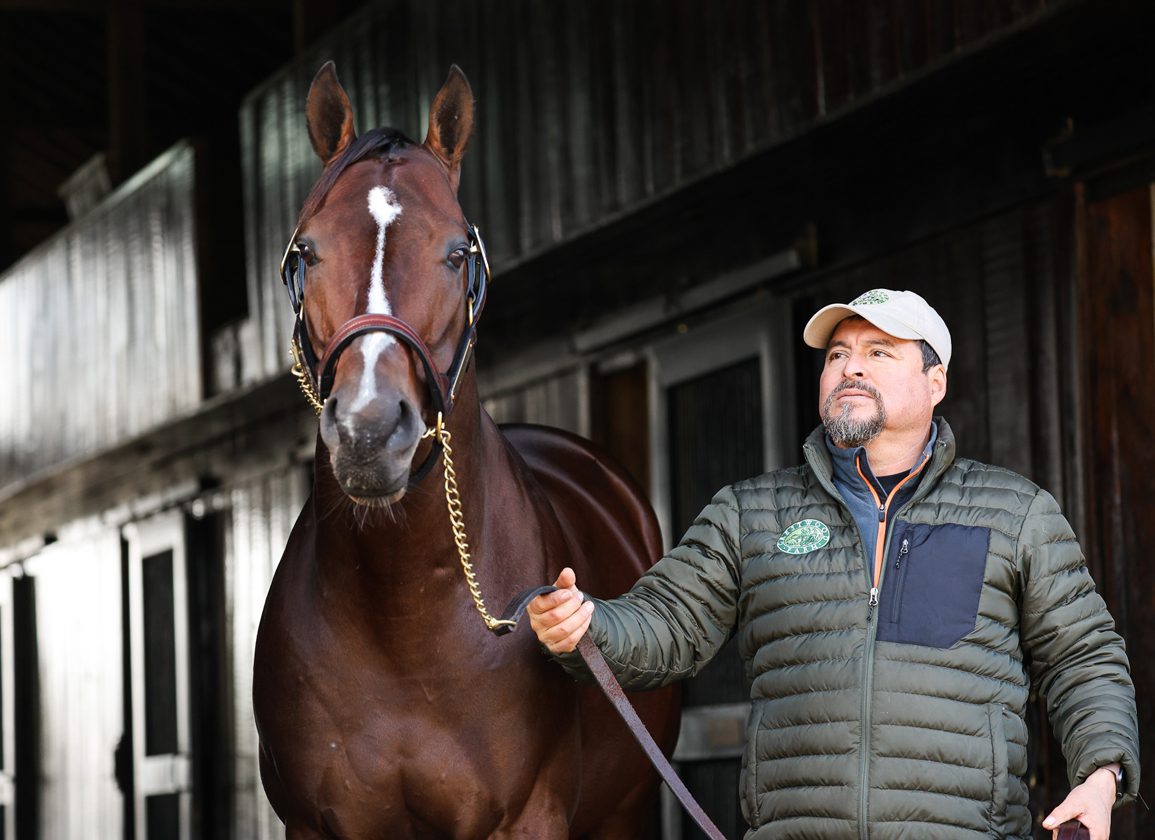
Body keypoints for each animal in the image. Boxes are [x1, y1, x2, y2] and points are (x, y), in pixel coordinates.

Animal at [252, 60, 679, 840]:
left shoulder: (528, 819)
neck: (404, 624)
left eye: (456, 252)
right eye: (306, 251)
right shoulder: (314, 825)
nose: (368, 432)